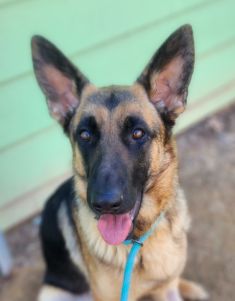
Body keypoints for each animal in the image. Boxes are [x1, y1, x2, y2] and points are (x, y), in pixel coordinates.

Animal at [30, 24, 207, 298]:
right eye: (85, 135)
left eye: (137, 133)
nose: (104, 204)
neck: (138, 242)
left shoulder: (167, 289)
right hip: (52, 292)